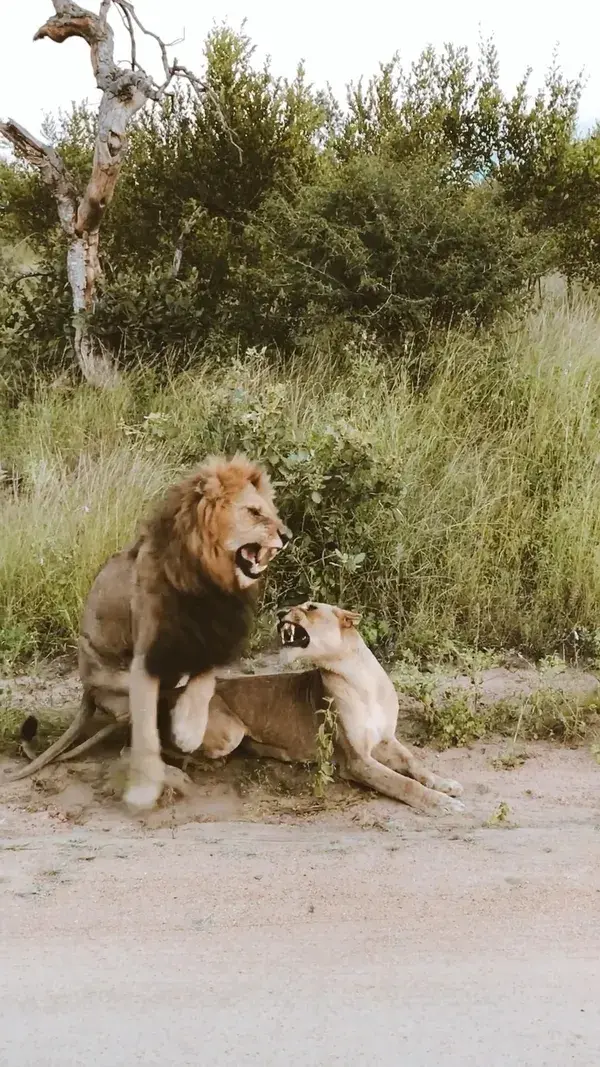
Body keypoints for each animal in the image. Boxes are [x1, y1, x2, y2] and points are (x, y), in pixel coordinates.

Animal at [8, 454, 290, 810]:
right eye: (254, 512)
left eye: (272, 511)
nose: (287, 536)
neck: (210, 582)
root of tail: (87, 692)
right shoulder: (148, 653)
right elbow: (145, 735)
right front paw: (144, 789)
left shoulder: (208, 638)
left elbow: (205, 680)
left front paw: (188, 729)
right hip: (116, 682)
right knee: (137, 725)